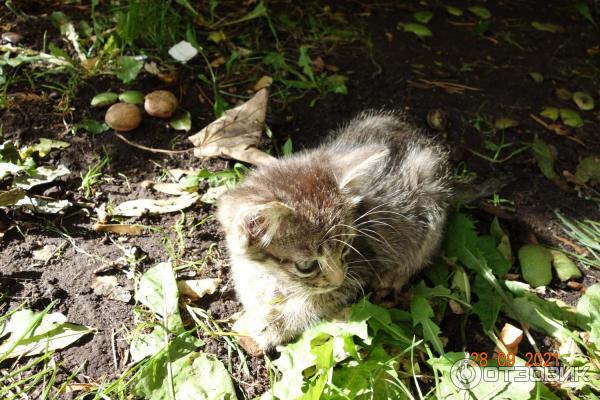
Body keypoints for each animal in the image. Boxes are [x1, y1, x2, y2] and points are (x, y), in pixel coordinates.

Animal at [218, 110, 452, 350]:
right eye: (306, 266)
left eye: (346, 246)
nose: (338, 278)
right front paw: (259, 304)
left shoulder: (363, 263)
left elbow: (321, 297)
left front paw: (277, 324)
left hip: (432, 211)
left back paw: (394, 275)